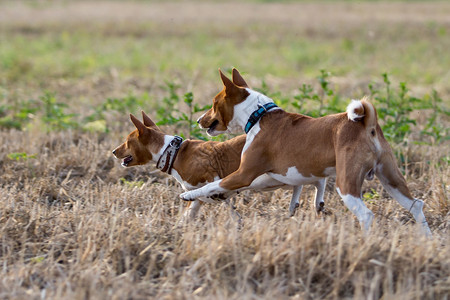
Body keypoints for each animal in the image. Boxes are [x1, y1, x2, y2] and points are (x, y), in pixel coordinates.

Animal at [110, 112, 326, 220]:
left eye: (127, 141)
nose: (113, 151)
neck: (173, 152)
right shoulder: (197, 194)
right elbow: (190, 212)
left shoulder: (213, 178)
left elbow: (217, 195)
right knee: (307, 183)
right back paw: (299, 206)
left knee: (315, 182)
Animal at [182, 67, 432, 234]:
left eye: (214, 104)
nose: (199, 120)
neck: (259, 115)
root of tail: (366, 123)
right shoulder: (288, 174)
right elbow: (310, 188)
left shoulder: (244, 174)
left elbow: (212, 185)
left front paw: (188, 195)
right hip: (391, 179)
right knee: (416, 205)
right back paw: (426, 239)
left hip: (347, 183)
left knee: (366, 215)